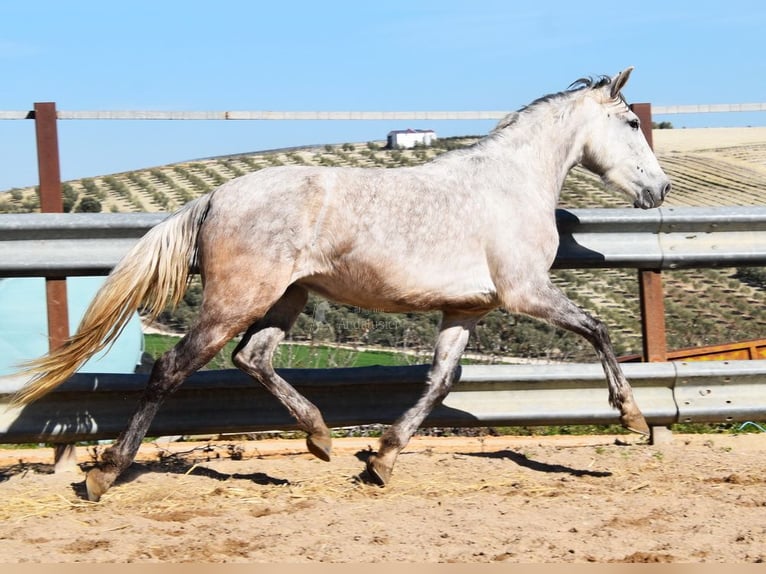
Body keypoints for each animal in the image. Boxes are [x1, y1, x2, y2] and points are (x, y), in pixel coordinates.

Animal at [10, 65, 672, 502]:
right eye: (628, 124)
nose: (659, 189)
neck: (510, 184)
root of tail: (216, 196)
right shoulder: (524, 292)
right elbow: (597, 330)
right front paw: (633, 418)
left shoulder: (467, 310)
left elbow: (442, 380)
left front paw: (382, 458)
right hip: (238, 299)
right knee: (173, 367)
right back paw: (104, 472)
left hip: (287, 297)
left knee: (251, 358)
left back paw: (321, 436)